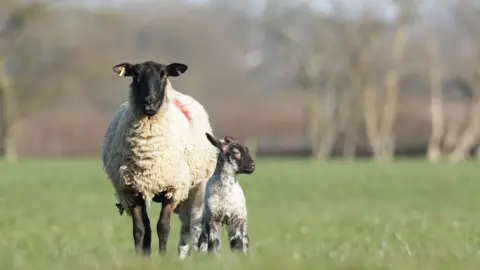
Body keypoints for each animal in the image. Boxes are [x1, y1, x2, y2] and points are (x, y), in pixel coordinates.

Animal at [102, 60, 217, 258]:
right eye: (135, 75)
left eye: (164, 75)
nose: (150, 102)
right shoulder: (132, 191)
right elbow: (140, 229)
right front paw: (141, 258)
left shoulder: (172, 189)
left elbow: (163, 227)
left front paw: (163, 257)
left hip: (197, 189)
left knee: (192, 225)